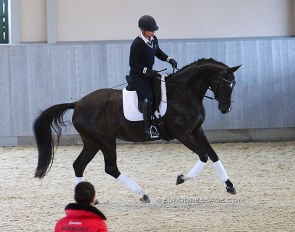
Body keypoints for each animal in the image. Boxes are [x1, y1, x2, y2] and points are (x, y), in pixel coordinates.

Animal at [34, 58, 242, 203]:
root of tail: (77, 104)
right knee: (110, 168)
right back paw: (142, 194)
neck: (184, 93)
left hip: (92, 143)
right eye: (224, 83)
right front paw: (181, 178)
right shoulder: (181, 133)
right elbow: (203, 155)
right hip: (105, 141)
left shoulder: (197, 130)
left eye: (234, 84)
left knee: (79, 165)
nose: (226, 108)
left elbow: (212, 155)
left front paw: (230, 185)